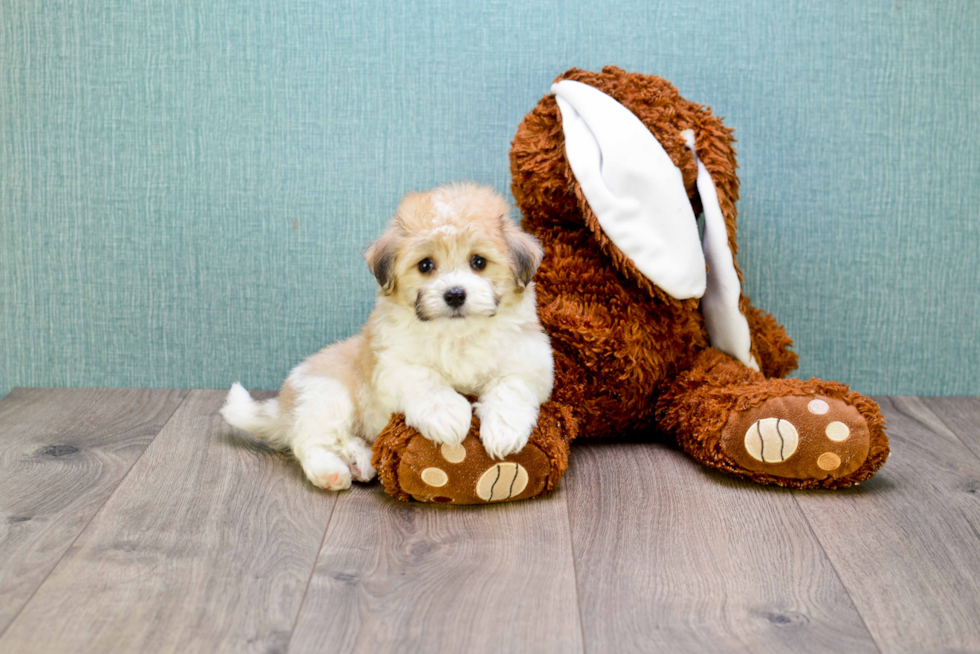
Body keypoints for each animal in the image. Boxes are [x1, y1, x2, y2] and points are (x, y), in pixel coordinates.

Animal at [225, 182, 556, 490]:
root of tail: (284, 406)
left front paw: (504, 430)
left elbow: (511, 386)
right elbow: (426, 381)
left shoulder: (531, 360)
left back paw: (360, 461)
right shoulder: (392, 363)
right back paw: (330, 472)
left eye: (478, 262)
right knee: (310, 439)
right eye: (425, 265)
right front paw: (447, 415)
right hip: (326, 394)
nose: (454, 294)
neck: (457, 335)